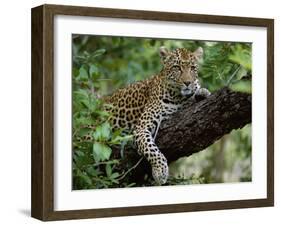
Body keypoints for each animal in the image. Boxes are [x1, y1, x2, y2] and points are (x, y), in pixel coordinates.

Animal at [103, 46, 210, 185]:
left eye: (192, 68)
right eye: (177, 67)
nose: (188, 82)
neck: (179, 97)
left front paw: (201, 92)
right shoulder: (141, 128)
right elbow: (152, 149)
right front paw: (160, 171)